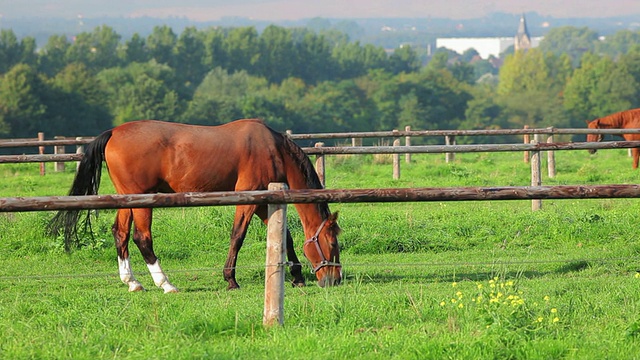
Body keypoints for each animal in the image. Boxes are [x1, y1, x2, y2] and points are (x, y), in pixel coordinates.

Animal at [49, 119, 342, 292]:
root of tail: (113, 133)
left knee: (120, 234)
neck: (272, 148)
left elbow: (286, 239)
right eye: (332, 242)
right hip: (142, 200)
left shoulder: (261, 202)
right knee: (142, 238)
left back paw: (132, 282)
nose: (335, 279)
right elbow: (238, 236)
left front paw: (297, 276)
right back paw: (165, 283)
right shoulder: (249, 198)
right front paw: (230, 279)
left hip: (127, 200)